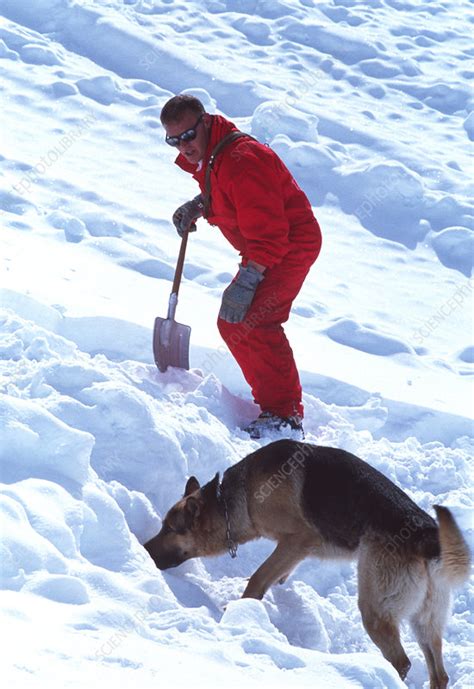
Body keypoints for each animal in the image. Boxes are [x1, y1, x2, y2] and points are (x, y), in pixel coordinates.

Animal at [144, 438, 470, 684]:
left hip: (375, 607)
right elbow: (275, 574)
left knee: (402, 662)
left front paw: (239, 609)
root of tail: (427, 537)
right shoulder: (296, 549)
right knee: (439, 674)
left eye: (170, 529)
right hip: (426, 621)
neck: (232, 500)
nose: (143, 548)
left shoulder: (298, 538)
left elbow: (258, 577)